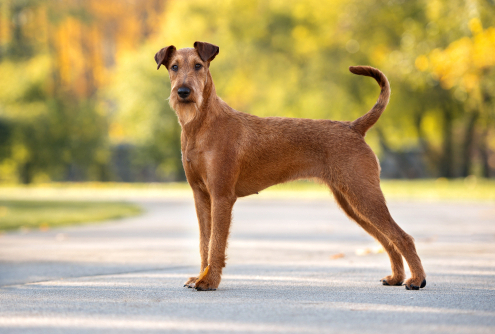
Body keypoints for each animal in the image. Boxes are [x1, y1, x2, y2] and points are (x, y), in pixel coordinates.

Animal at [154, 41, 426, 290]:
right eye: (174, 66)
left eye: (198, 66)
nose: (183, 91)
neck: (200, 126)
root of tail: (353, 127)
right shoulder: (201, 195)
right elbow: (204, 243)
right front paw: (200, 276)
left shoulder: (221, 196)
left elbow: (216, 244)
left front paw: (209, 281)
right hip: (352, 202)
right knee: (388, 239)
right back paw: (396, 278)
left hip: (363, 196)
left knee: (403, 237)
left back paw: (416, 280)